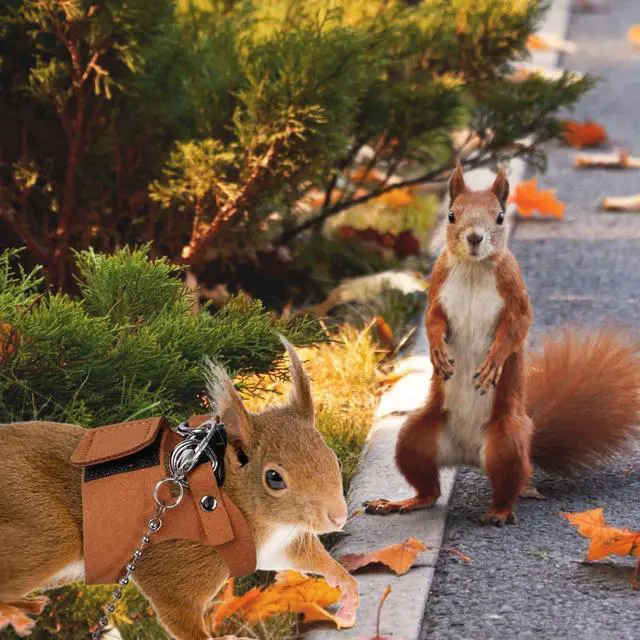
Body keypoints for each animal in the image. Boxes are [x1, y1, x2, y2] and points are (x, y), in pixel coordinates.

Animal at [0, 341, 359, 640]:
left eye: (332, 458)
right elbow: (179, 614)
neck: (224, 494)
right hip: (44, 535)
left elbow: (303, 556)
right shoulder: (177, 564)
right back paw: (16, 613)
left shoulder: (276, 544)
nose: (338, 516)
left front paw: (346, 586)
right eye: (274, 478)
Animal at [366, 162, 640, 525]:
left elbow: (515, 330)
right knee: (429, 490)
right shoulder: (437, 290)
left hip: (506, 441)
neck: (472, 269)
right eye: (451, 215)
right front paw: (437, 352)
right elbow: (432, 321)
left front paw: (493, 362)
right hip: (415, 436)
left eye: (499, 217)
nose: (474, 237)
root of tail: (468, 455)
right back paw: (400, 503)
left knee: (509, 483)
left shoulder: (515, 296)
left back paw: (499, 511)